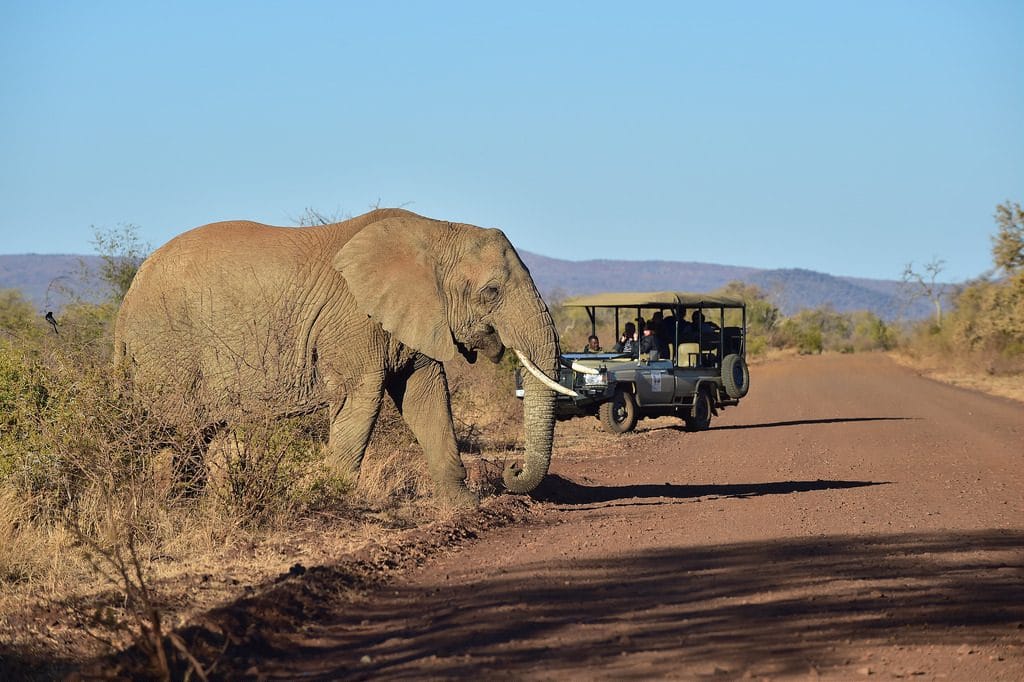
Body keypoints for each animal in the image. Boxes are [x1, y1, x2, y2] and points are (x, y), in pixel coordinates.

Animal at [113, 208, 575, 507]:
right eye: (491, 291)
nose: (511, 471)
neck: (436, 233)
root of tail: (128, 299)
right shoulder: (353, 318)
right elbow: (362, 396)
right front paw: (332, 499)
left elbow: (426, 395)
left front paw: (464, 505)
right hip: (167, 345)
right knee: (182, 428)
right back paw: (178, 507)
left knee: (198, 431)